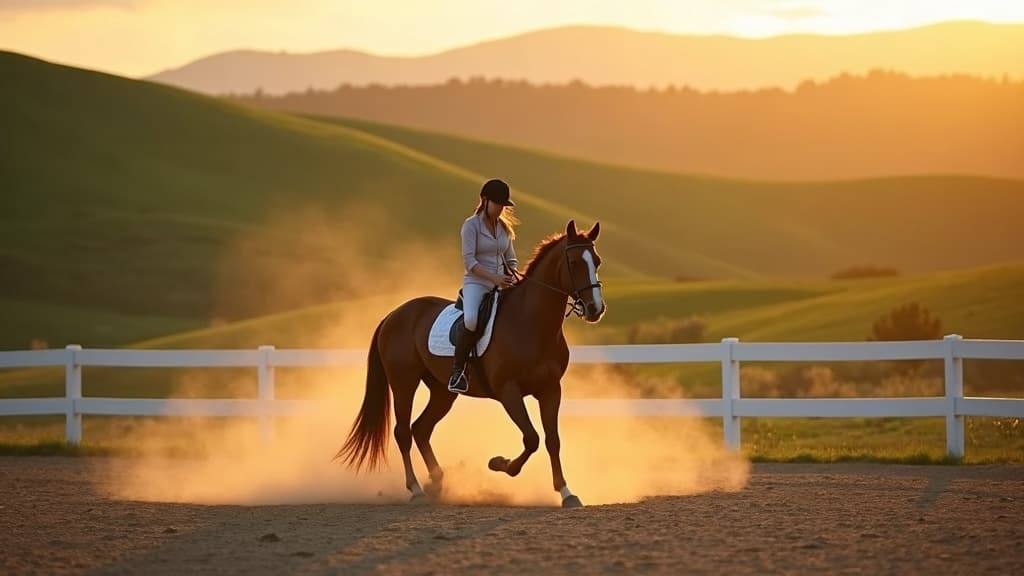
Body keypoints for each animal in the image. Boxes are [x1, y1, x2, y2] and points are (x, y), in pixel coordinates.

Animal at [335, 219, 606, 507]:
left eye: (596, 261)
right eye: (574, 262)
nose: (595, 309)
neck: (531, 324)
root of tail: (393, 315)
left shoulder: (551, 390)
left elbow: (552, 440)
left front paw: (566, 492)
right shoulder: (509, 391)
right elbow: (531, 438)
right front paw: (500, 464)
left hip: (443, 391)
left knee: (421, 429)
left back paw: (437, 482)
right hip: (404, 384)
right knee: (404, 432)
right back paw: (417, 489)